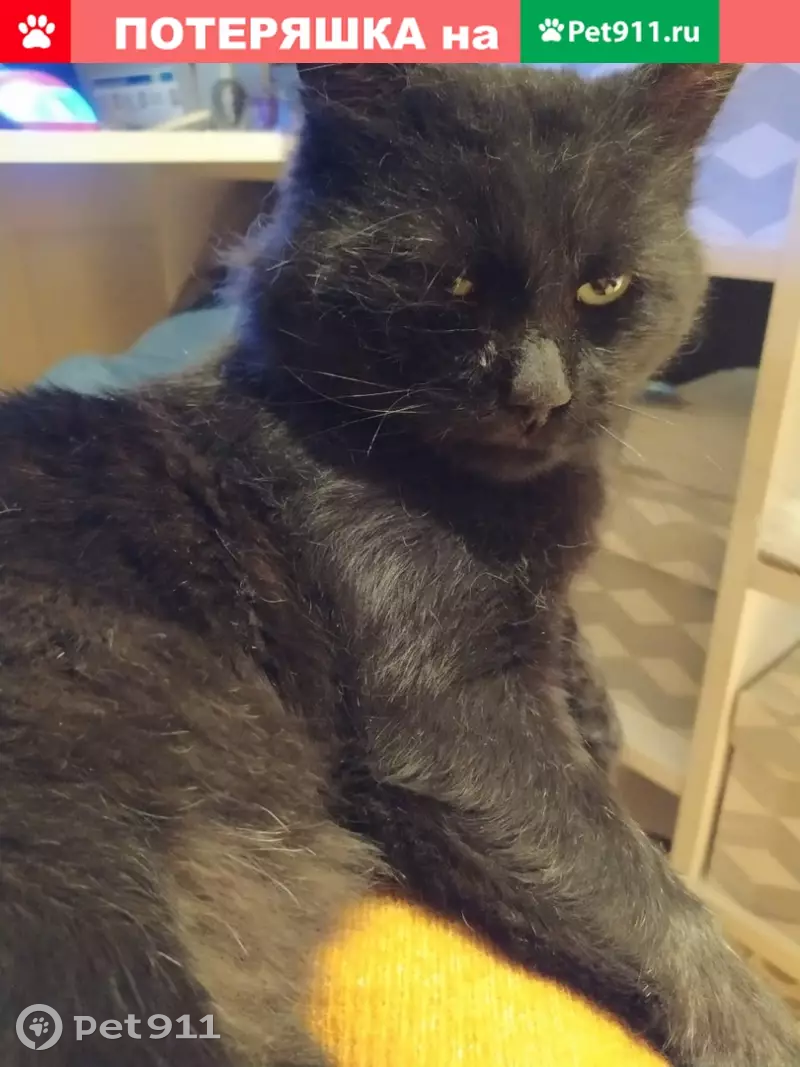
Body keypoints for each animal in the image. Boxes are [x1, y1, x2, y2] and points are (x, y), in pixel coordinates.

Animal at [0, 62, 797, 1067]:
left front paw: (594, 708)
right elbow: (647, 891)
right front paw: (761, 1027)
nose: (540, 395)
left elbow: (577, 669)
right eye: (452, 282)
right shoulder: (452, 720)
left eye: (604, 286)